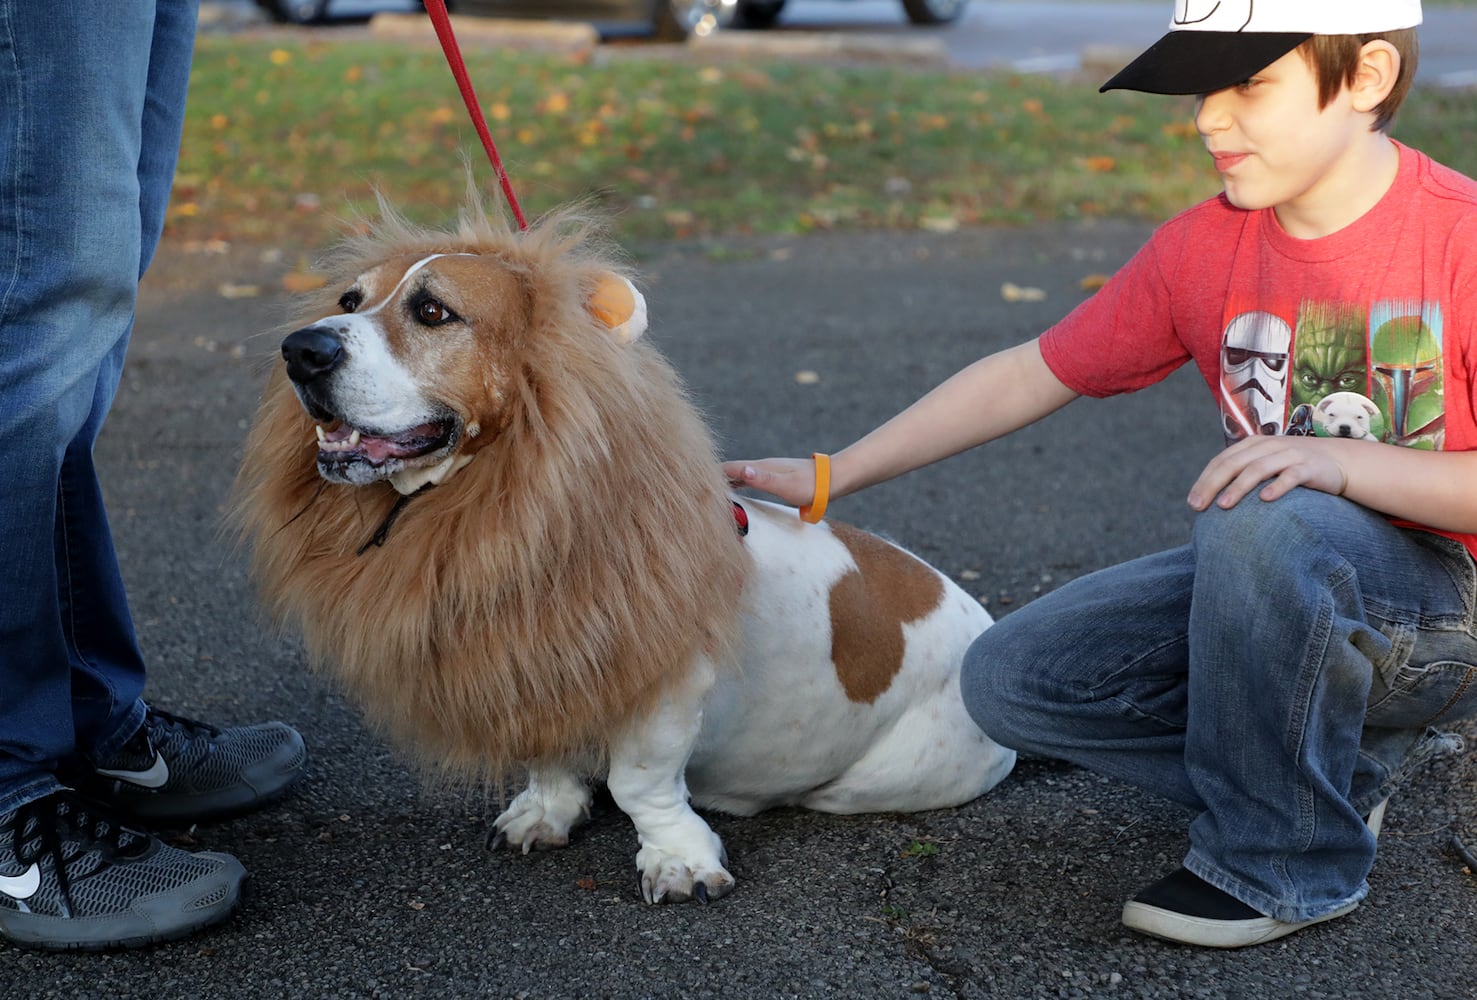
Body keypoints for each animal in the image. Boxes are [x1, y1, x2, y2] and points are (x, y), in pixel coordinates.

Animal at [233, 196, 1016, 903]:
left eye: (433, 312)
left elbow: (640, 783)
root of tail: (983, 623)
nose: (300, 350)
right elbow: (548, 757)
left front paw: (678, 860)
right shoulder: (537, 661)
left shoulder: (659, 685)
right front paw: (546, 811)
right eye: (349, 298)